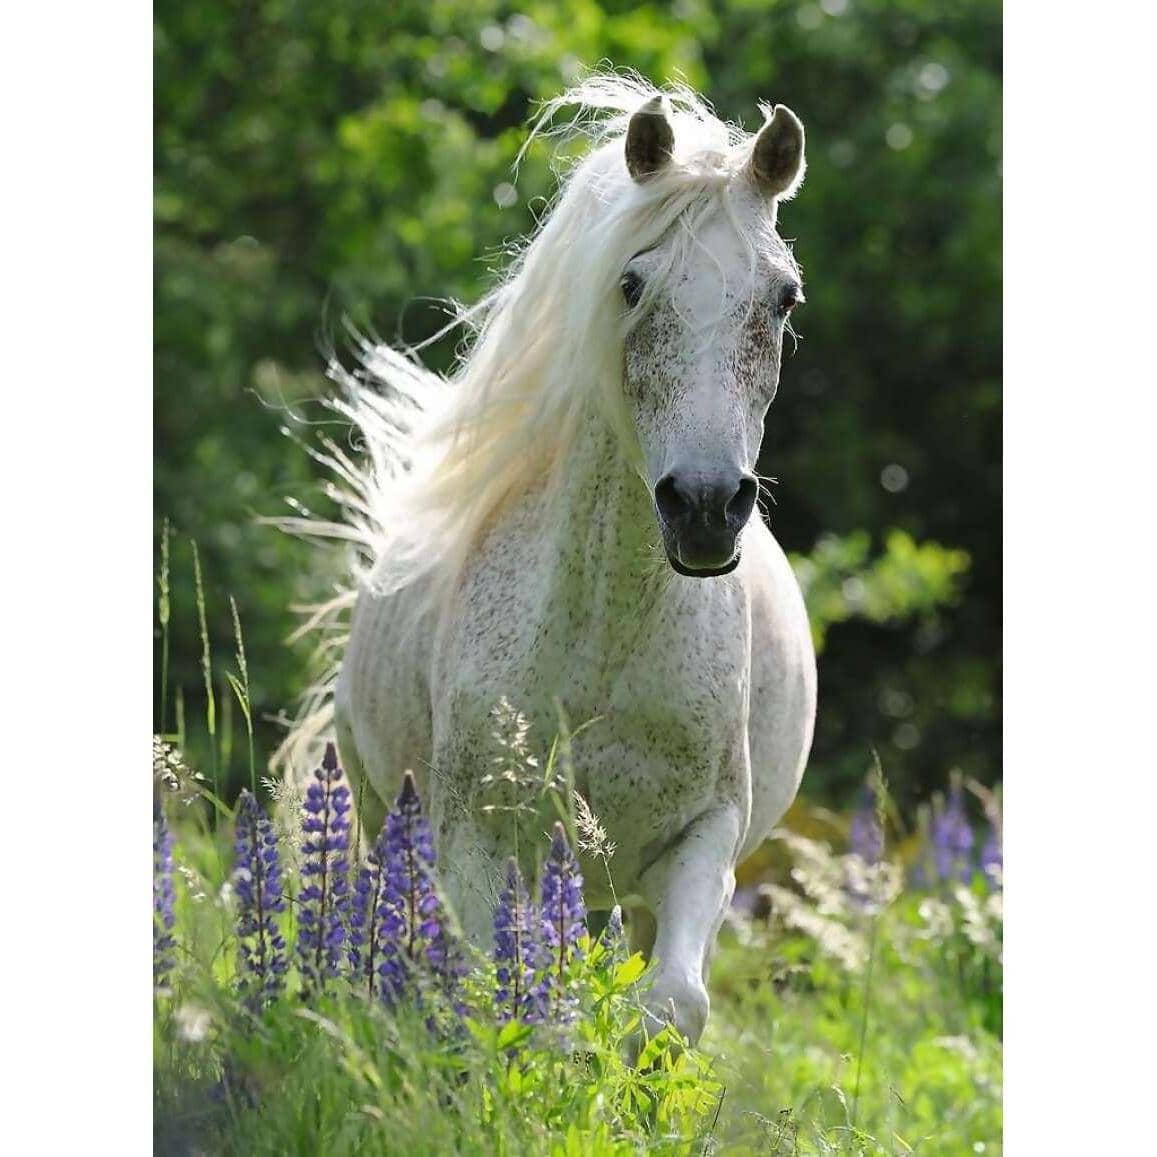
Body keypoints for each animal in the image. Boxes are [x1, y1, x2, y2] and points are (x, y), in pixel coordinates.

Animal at [285, 76, 817, 1045]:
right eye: (632, 282)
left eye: (783, 298)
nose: (704, 508)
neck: (604, 638)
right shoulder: (474, 840)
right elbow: (500, 1000)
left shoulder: (702, 839)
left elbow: (670, 1005)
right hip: (386, 817)